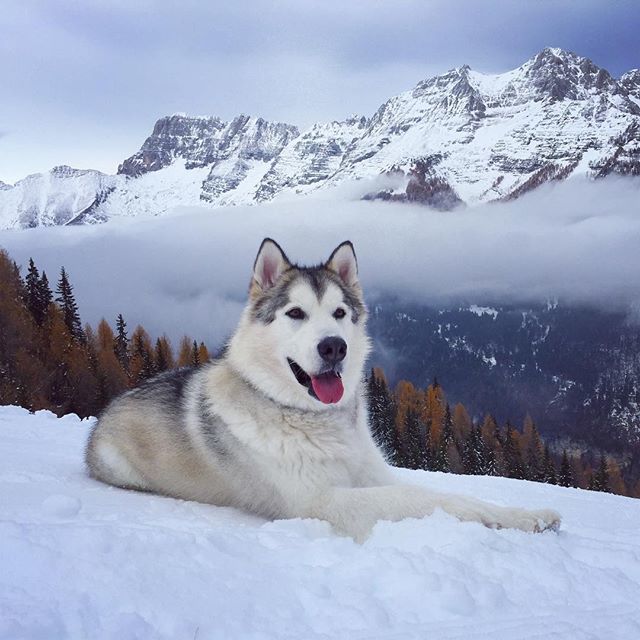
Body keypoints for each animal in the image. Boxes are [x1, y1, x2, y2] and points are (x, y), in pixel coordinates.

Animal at [86, 239, 560, 540]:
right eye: (295, 313)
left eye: (339, 313)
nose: (334, 346)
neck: (314, 421)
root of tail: (105, 413)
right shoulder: (318, 503)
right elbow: (417, 498)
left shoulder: (372, 474)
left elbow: (447, 493)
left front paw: (525, 516)